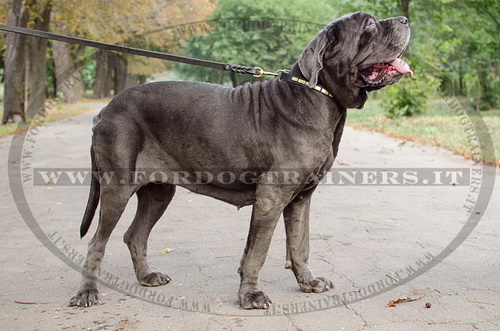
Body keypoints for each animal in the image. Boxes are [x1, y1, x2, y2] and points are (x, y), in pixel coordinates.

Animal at [71, 11, 414, 310]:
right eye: (368, 24)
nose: (404, 18)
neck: (318, 95)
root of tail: (105, 110)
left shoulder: (301, 198)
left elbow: (300, 245)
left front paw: (308, 282)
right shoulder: (270, 198)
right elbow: (257, 252)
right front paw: (250, 295)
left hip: (159, 191)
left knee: (135, 235)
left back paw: (146, 277)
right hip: (117, 187)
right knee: (97, 242)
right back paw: (87, 293)